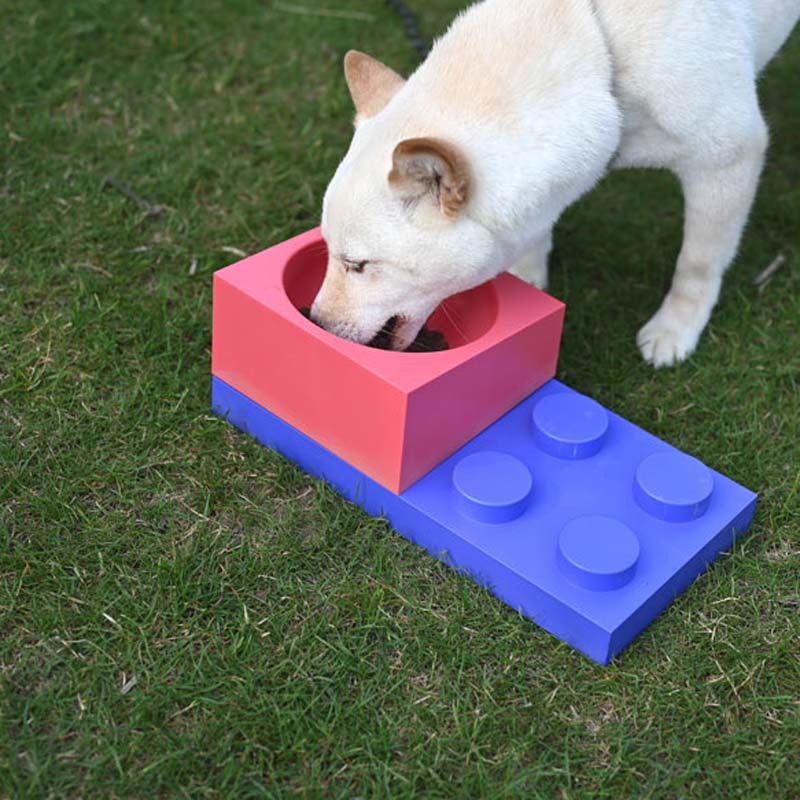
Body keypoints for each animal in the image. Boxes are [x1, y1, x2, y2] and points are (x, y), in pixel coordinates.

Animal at [310, 0, 796, 368]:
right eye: (330, 253)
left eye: (358, 265)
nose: (315, 324)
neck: (600, 52)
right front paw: (530, 284)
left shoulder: (731, 156)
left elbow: (697, 263)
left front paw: (677, 328)